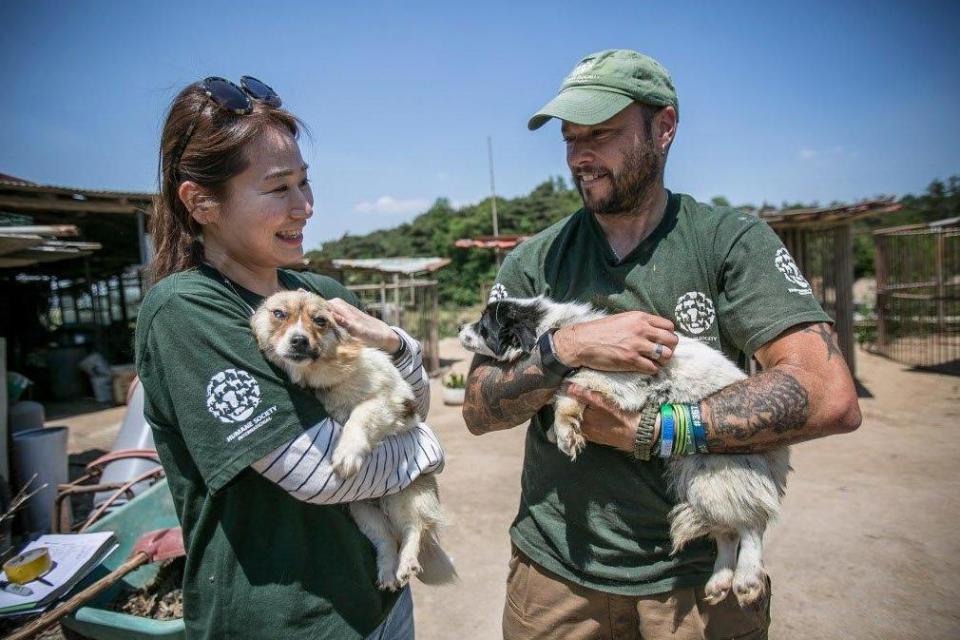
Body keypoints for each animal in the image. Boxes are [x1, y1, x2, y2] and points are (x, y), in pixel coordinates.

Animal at [251, 290, 454, 592]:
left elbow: (359, 415)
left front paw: (347, 453)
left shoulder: (389, 399)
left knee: (413, 529)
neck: (330, 376)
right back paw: (388, 572)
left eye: (320, 320)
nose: (299, 340)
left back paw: (407, 562)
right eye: (278, 314)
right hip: (363, 511)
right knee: (386, 541)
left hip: (407, 496)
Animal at [462, 298, 792, 608]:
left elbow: (567, 395)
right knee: (728, 529)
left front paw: (566, 432)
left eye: (483, 326)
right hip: (697, 476)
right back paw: (719, 582)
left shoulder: (609, 382)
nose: (460, 328)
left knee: (751, 523)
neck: (551, 324)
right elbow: (563, 396)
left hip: (719, 471)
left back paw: (747, 579)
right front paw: (563, 432)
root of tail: (778, 453)